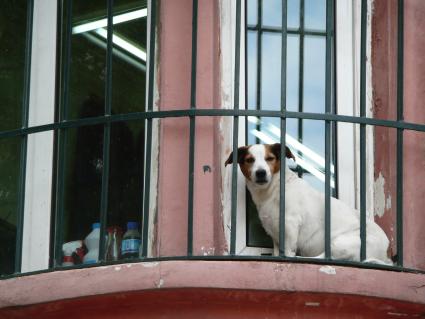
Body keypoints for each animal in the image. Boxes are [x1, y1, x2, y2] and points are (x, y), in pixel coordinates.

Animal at [225, 144, 390, 264]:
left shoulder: (290, 225)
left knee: (324, 257)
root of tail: (385, 254)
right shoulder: (275, 235)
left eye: (270, 158)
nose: (261, 173)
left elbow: (288, 252)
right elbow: (277, 252)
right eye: (249, 160)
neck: (274, 189)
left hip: (341, 242)